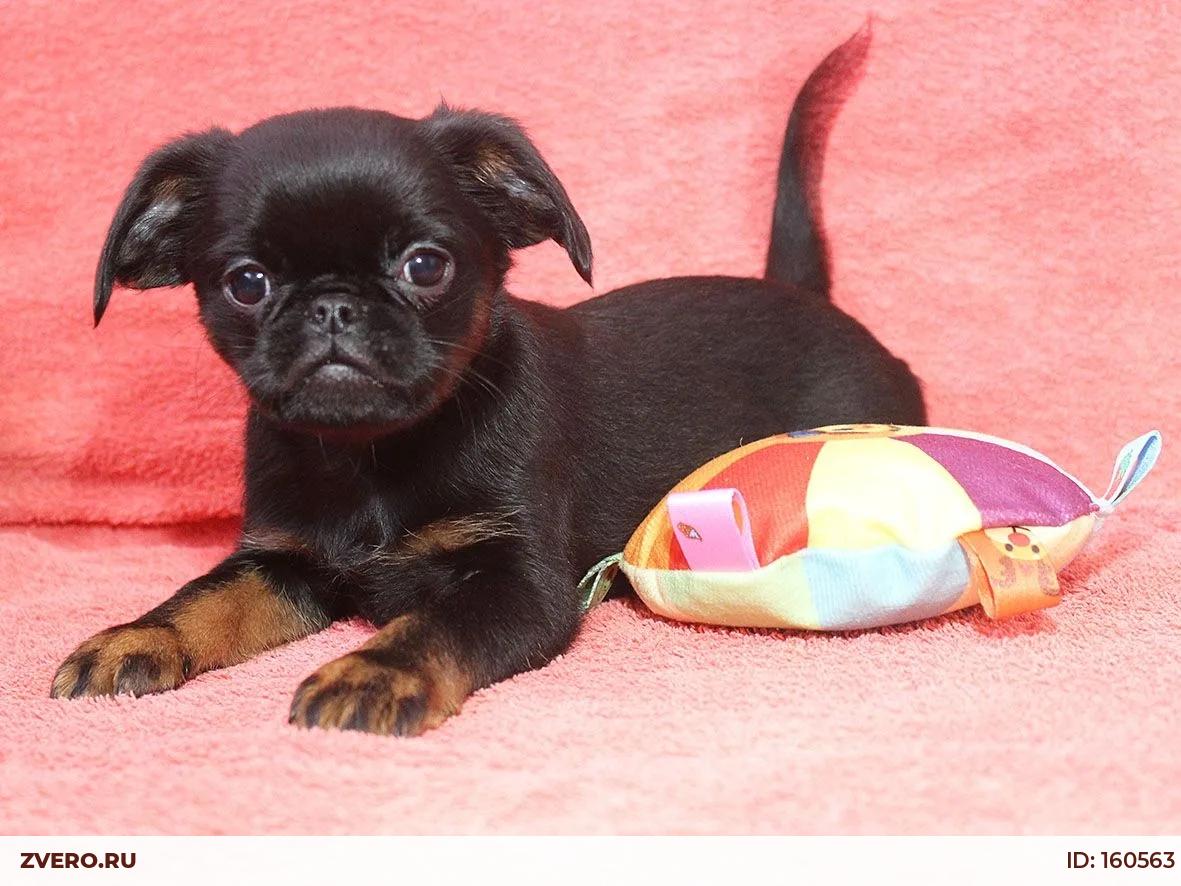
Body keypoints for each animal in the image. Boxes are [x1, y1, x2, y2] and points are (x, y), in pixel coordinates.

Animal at [51, 30, 925, 735]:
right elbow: (203, 599)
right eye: (246, 283)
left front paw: (373, 672)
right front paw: (135, 636)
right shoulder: (281, 562)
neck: (370, 456)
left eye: (424, 265)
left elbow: (430, 626)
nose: (333, 304)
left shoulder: (518, 583)